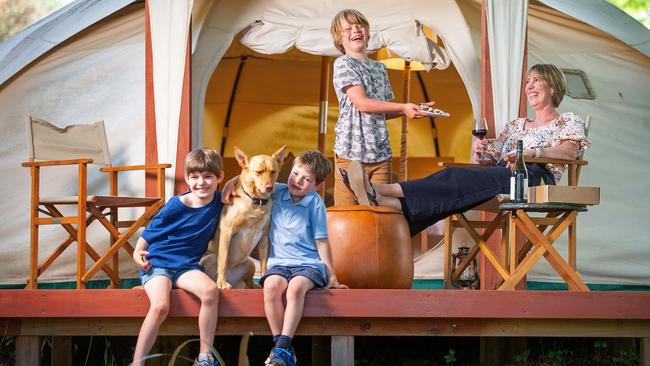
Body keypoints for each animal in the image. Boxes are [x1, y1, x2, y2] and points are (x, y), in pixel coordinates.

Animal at [201, 145, 284, 288]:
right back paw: (220, 281)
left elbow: (264, 264)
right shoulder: (227, 231)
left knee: (250, 283)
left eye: (273, 172)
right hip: (210, 258)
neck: (256, 202)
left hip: (250, 264)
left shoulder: (264, 238)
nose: (269, 187)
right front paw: (222, 283)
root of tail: (235, 283)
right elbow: (223, 261)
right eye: (259, 172)